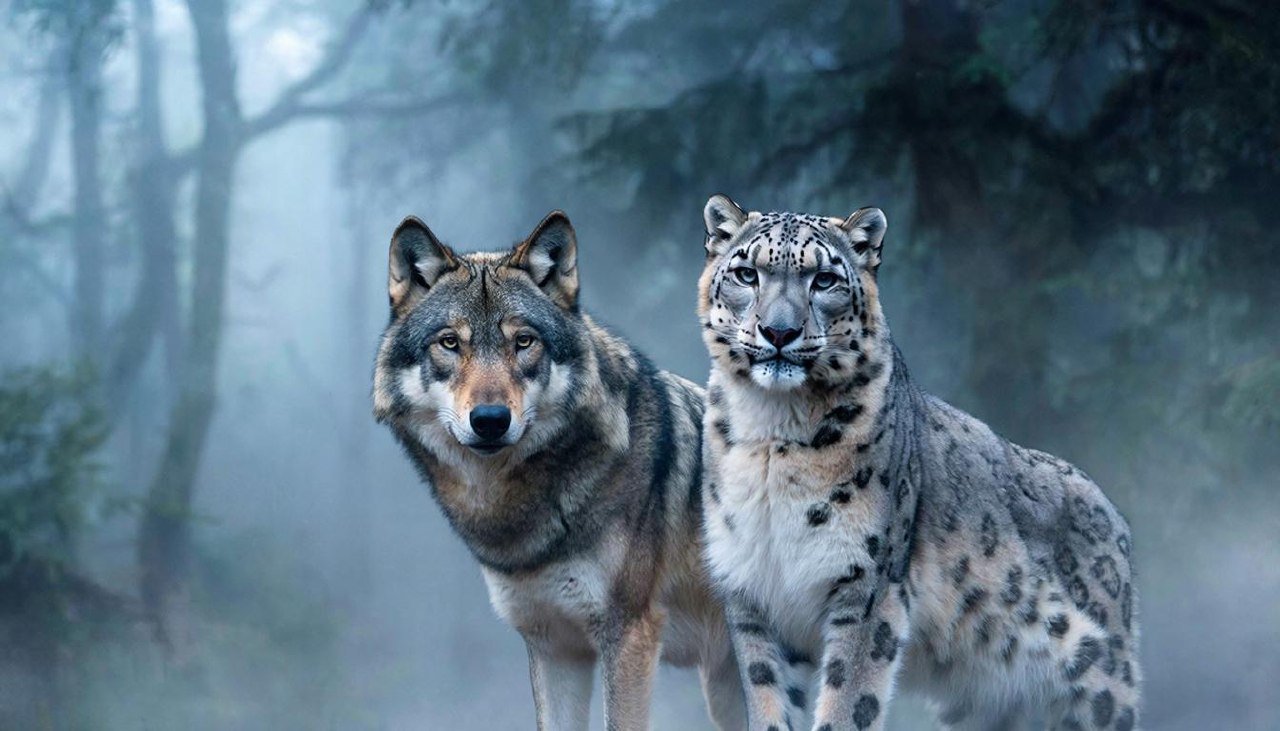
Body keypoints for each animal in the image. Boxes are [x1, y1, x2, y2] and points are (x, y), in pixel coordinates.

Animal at [696, 195, 1140, 730]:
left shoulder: (867, 587)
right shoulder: (751, 592)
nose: (779, 331)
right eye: (746, 273)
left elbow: (847, 698)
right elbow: (766, 694)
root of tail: (1116, 520)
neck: (770, 432)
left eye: (824, 279)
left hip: (1099, 683)